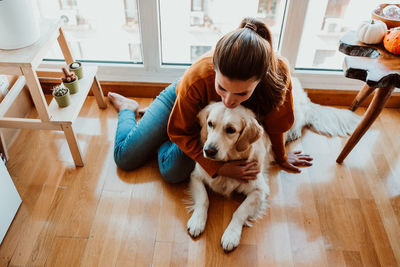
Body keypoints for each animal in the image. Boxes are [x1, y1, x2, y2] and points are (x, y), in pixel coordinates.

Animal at [188, 78, 360, 253]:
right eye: (210, 124)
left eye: (230, 130)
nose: (208, 151)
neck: (228, 161)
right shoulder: (196, 175)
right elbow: (203, 200)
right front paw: (197, 221)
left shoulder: (259, 190)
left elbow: (239, 211)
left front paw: (231, 235)